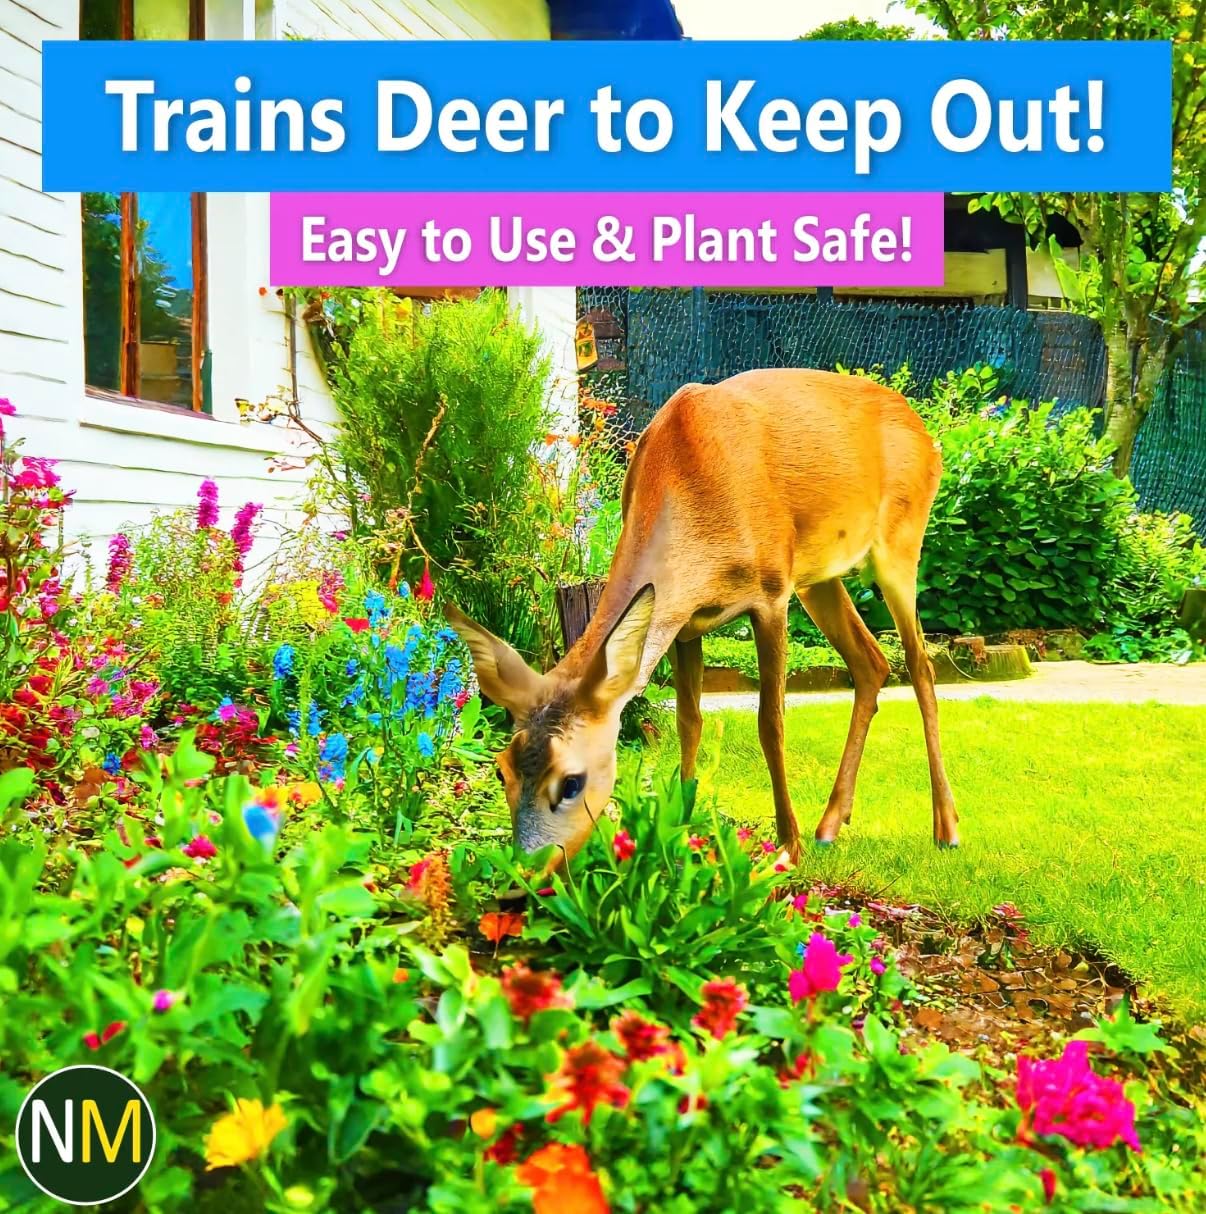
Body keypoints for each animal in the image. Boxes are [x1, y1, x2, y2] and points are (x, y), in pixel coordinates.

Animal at [446, 367, 958, 866]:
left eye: (571, 780)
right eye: (502, 770)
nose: (526, 869)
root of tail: (923, 432)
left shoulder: (771, 595)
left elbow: (771, 723)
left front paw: (787, 848)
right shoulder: (684, 622)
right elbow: (688, 721)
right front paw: (683, 825)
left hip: (900, 542)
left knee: (920, 664)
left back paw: (945, 828)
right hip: (818, 577)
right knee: (871, 662)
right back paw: (831, 824)